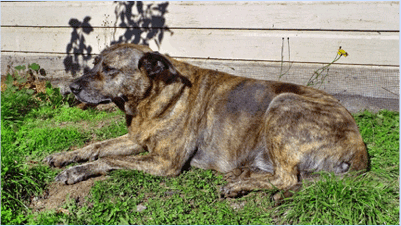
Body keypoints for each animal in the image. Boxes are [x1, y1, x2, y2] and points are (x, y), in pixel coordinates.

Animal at [43, 43, 366, 199]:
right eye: (95, 63)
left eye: (109, 69)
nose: (72, 87)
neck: (153, 98)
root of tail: (359, 146)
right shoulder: (136, 140)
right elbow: (96, 146)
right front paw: (63, 156)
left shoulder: (165, 163)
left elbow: (108, 160)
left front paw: (75, 172)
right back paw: (243, 175)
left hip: (283, 103)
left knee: (286, 179)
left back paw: (237, 186)